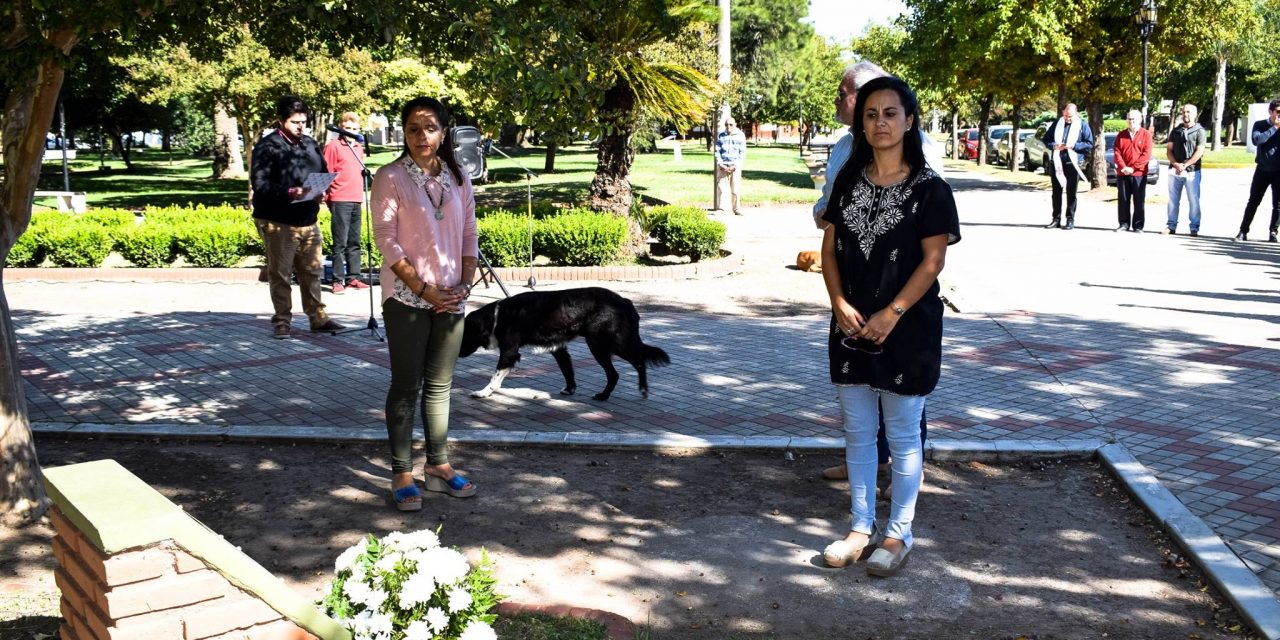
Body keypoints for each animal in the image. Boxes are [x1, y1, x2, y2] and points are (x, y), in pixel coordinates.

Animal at [465, 289, 675, 399]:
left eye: (465, 334)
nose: (459, 354)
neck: (497, 316)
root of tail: (624, 300)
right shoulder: (558, 348)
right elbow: (568, 370)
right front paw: (570, 389)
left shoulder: (509, 352)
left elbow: (495, 376)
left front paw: (483, 392)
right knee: (621, 370)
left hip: (605, 344)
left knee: (634, 363)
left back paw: (633, 390)